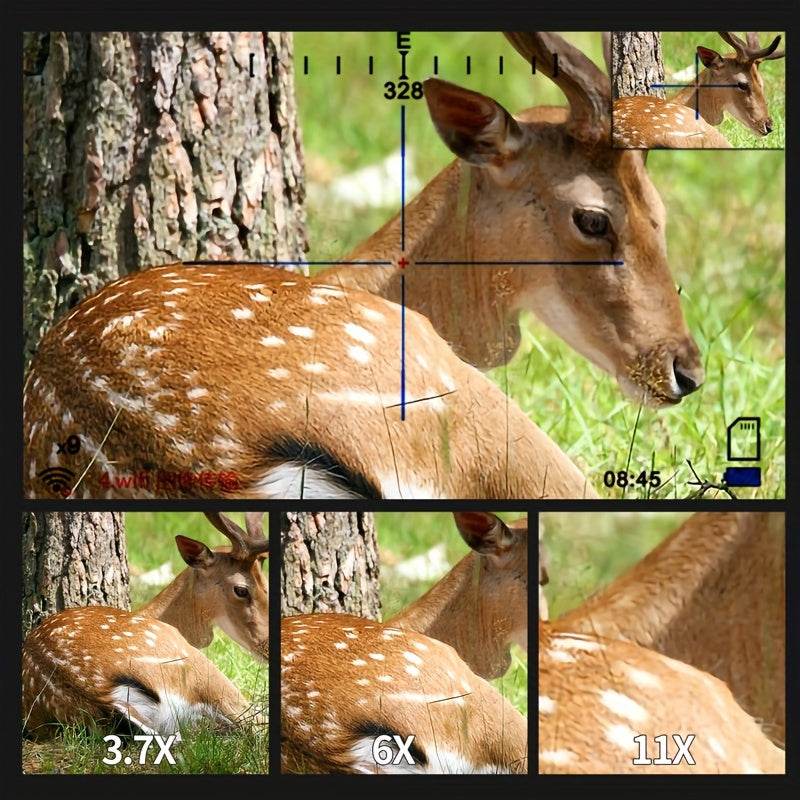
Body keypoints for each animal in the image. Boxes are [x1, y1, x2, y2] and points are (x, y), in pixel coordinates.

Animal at [22, 512, 268, 738]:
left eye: (265, 583)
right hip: (194, 665)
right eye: (241, 589)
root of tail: (102, 695)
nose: (267, 645)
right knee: (255, 723)